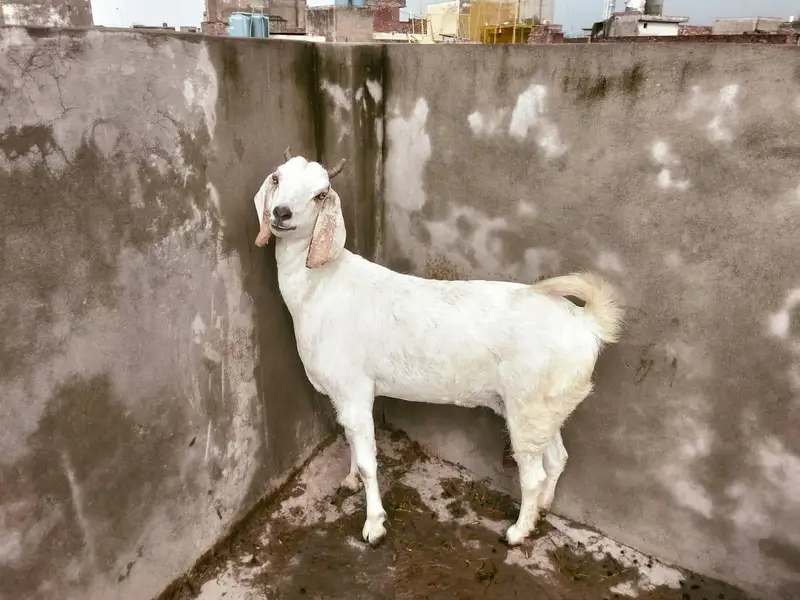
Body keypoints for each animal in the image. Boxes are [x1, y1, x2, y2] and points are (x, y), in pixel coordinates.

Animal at [253, 148, 624, 547]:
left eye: (321, 194)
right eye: (276, 178)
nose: (281, 213)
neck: (320, 285)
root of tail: (587, 323)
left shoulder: (354, 389)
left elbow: (368, 461)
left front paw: (374, 525)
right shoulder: (343, 394)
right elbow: (350, 440)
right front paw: (350, 481)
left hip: (528, 406)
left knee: (534, 473)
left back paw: (518, 531)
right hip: (548, 406)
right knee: (557, 458)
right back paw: (544, 508)